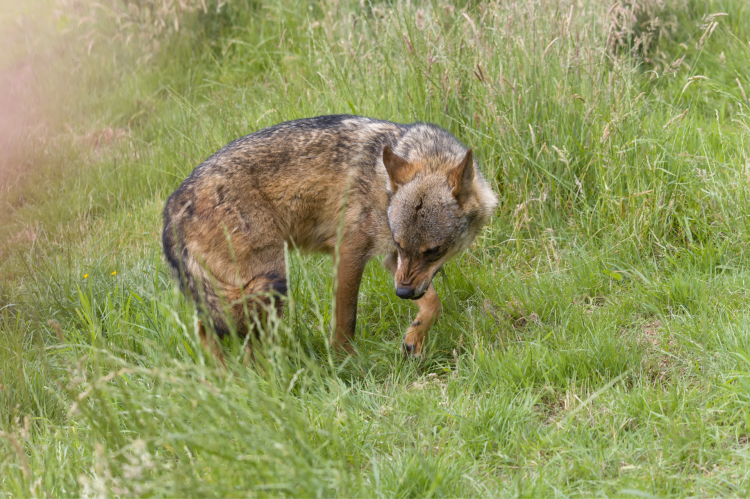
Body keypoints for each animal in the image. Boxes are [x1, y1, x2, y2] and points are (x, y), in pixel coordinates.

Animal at [162, 116, 496, 360]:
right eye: (405, 245)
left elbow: (433, 302)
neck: (382, 188)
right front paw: (348, 363)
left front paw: (414, 337)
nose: (401, 294)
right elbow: (346, 321)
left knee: (207, 330)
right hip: (268, 284)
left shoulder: (393, 261)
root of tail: (171, 209)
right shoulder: (350, 253)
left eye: (433, 251)